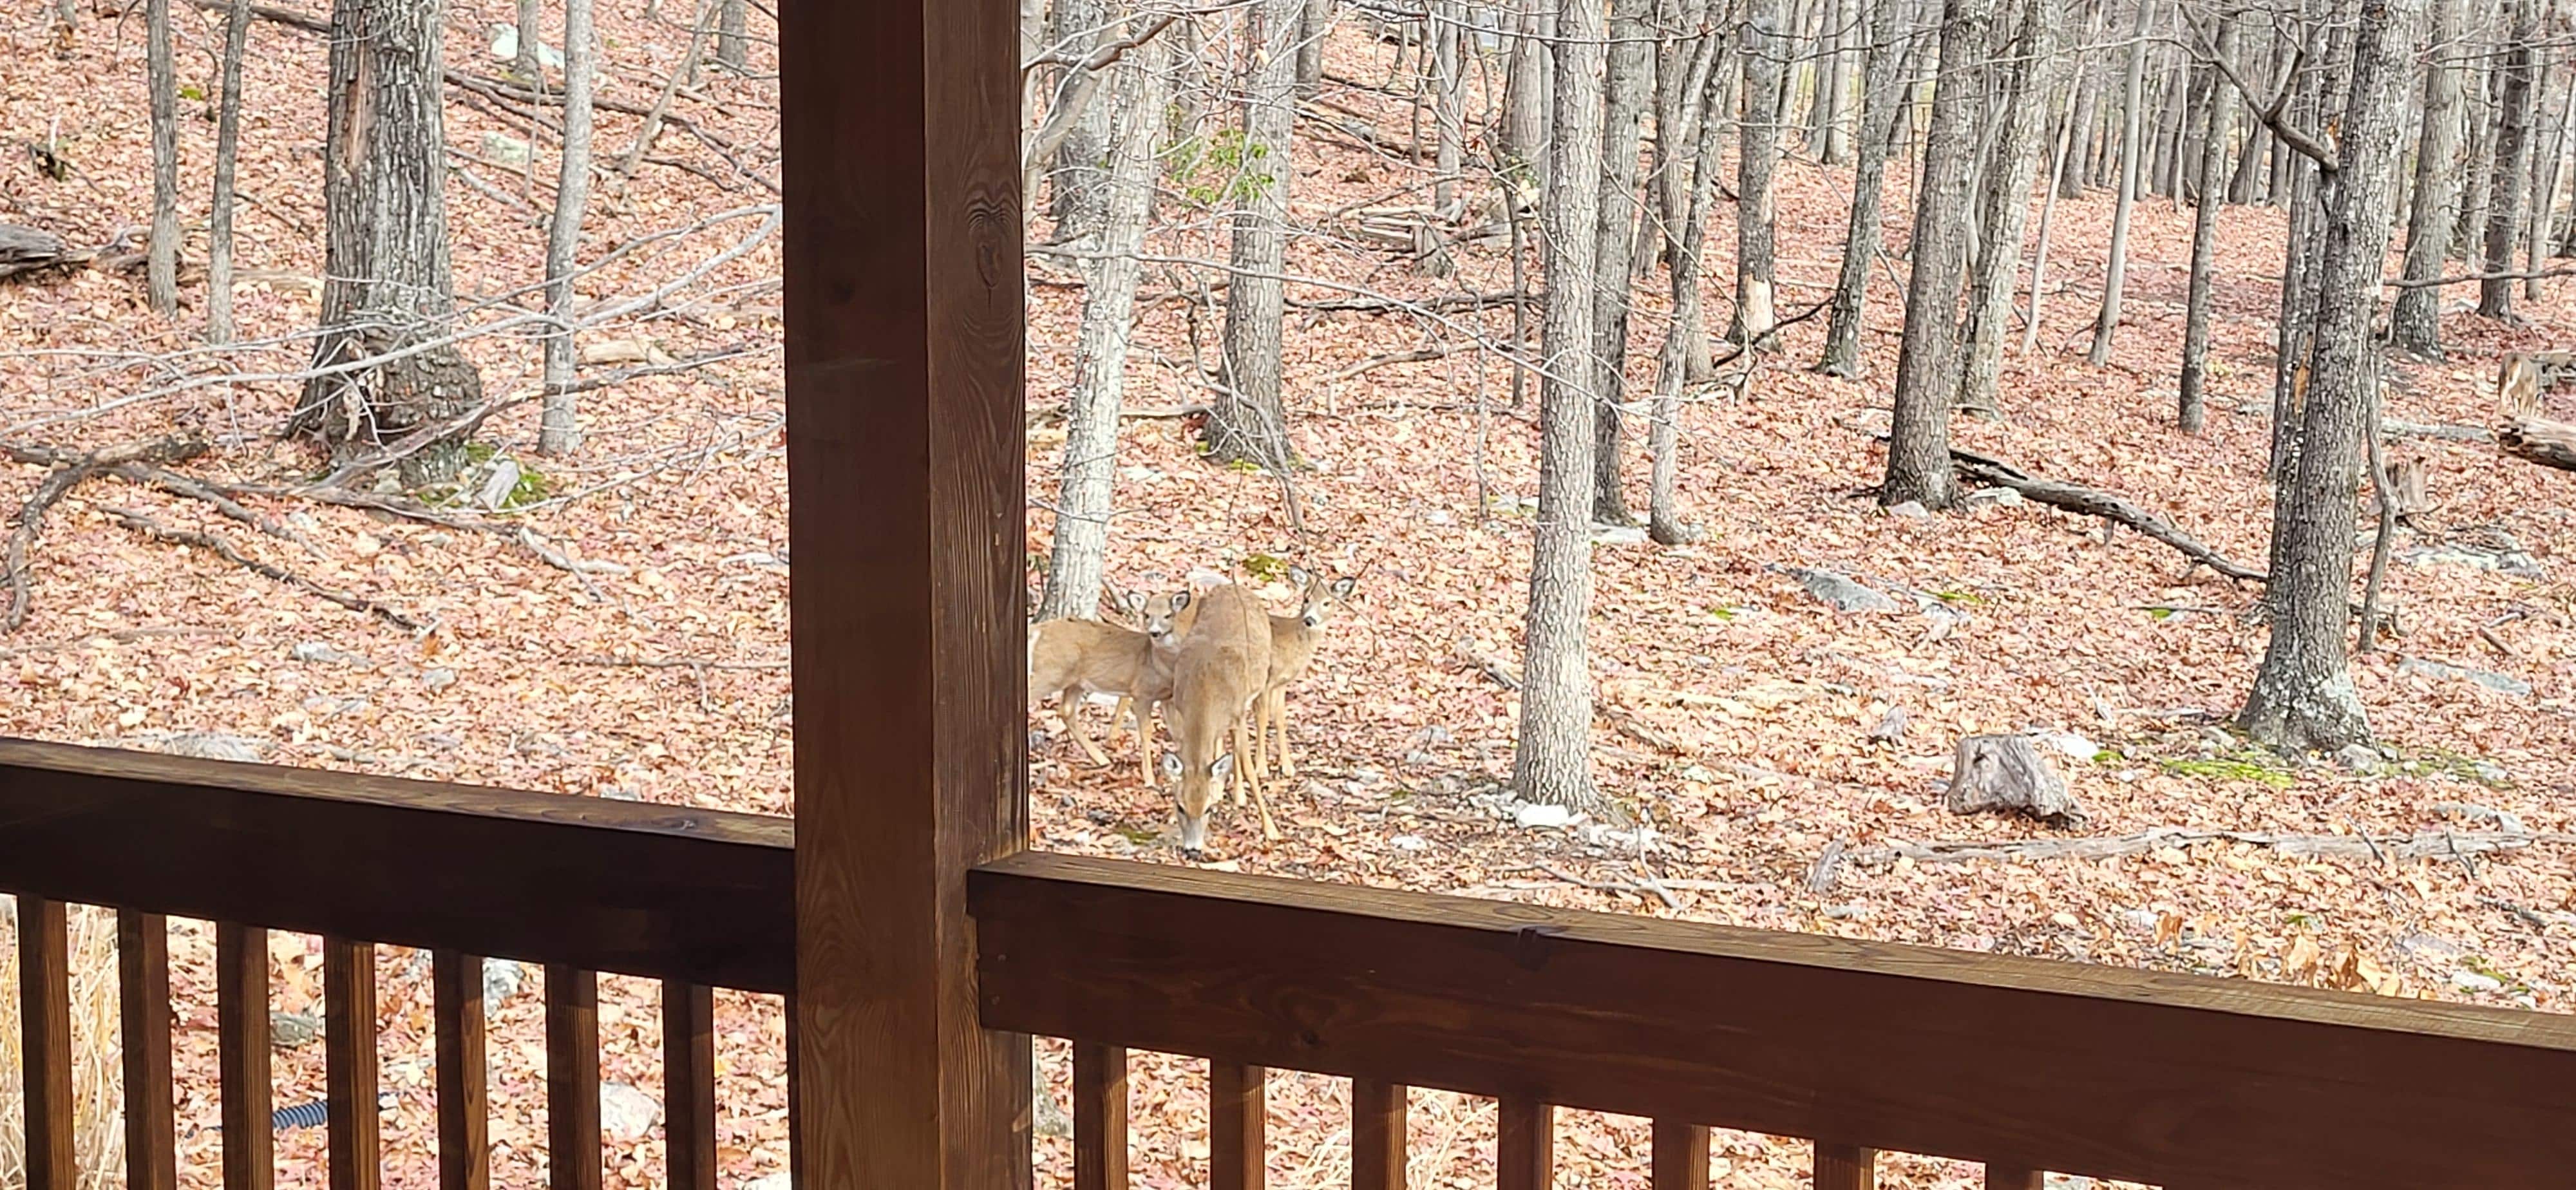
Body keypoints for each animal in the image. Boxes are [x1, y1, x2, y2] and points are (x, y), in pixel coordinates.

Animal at [1028, 589, 1192, 783]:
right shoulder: (1141, 693)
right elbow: (1146, 731)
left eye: (1168, 615)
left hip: (1075, 681)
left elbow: (1179, 733)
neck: (1159, 665)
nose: (1155, 633)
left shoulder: (1167, 698)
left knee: (1066, 711)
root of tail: (1039, 630)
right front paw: (1150, 779)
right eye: (1147, 615)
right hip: (1052, 673)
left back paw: (1102, 759)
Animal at [1158, 582, 1273, 855]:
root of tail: (1231, 585)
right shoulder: (1182, 711)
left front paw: (1270, 828)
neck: (1206, 686)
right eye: (1180, 806)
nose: (1193, 850)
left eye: (1207, 810)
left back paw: (1238, 794)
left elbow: (1250, 769)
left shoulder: (1238, 714)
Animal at [1248, 566, 1358, 783]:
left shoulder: (1281, 683)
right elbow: (1262, 718)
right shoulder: (1265, 680)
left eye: (1327, 602)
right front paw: (1261, 768)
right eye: (1306, 598)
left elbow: (1280, 718)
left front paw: (1288, 767)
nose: (1310, 620)